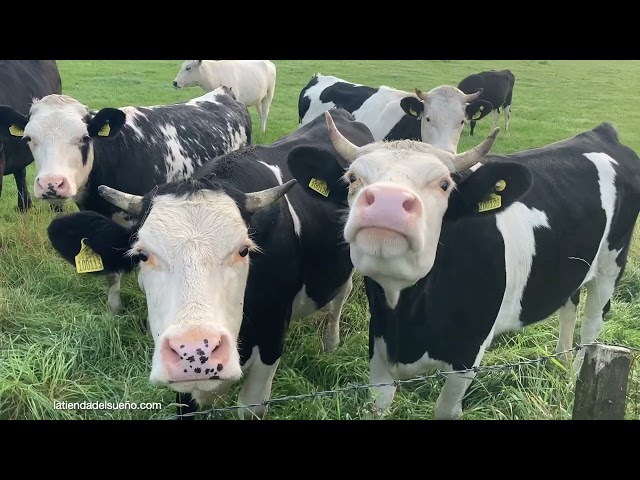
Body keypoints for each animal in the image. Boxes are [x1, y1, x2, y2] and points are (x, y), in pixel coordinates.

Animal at [0, 87, 252, 314]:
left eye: (84, 138)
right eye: (29, 138)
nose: (51, 183)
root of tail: (222, 93)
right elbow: (111, 272)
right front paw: (114, 308)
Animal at [45, 108, 375, 419]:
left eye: (244, 251)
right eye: (142, 255)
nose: (195, 351)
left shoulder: (269, 347)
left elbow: (251, 406)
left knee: (340, 297)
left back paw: (331, 344)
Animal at [287, 112, 640, 420]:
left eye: (444, 184)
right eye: (352, 178)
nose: (387, 201)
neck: (407, 315)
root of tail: (601, 132)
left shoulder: (468, 355)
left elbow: (445, 409)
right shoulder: (379, 347)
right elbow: (379, 403)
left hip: (610, 266)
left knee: (592, 327)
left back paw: (575, 375)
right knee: (569, 306)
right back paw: (563, 365)